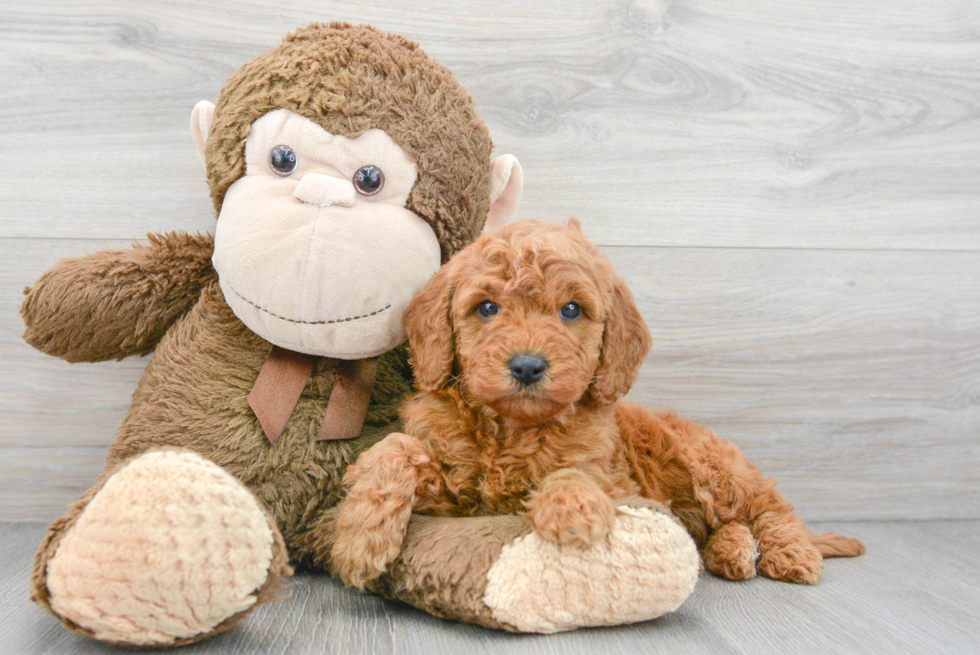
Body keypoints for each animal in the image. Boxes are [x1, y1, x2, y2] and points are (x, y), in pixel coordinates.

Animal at [332, 219, 864, 588]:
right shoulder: (451, 493)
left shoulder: (616, 477)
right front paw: (360, 537)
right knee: (728, 524)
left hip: (714, 465)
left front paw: (571, 513)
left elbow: (576, 472)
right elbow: (394, 449)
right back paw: (729, 553)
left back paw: (791, 554)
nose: (527, 366)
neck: (512, 429)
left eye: (571, 310)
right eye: (486, 307)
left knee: (768, 506)